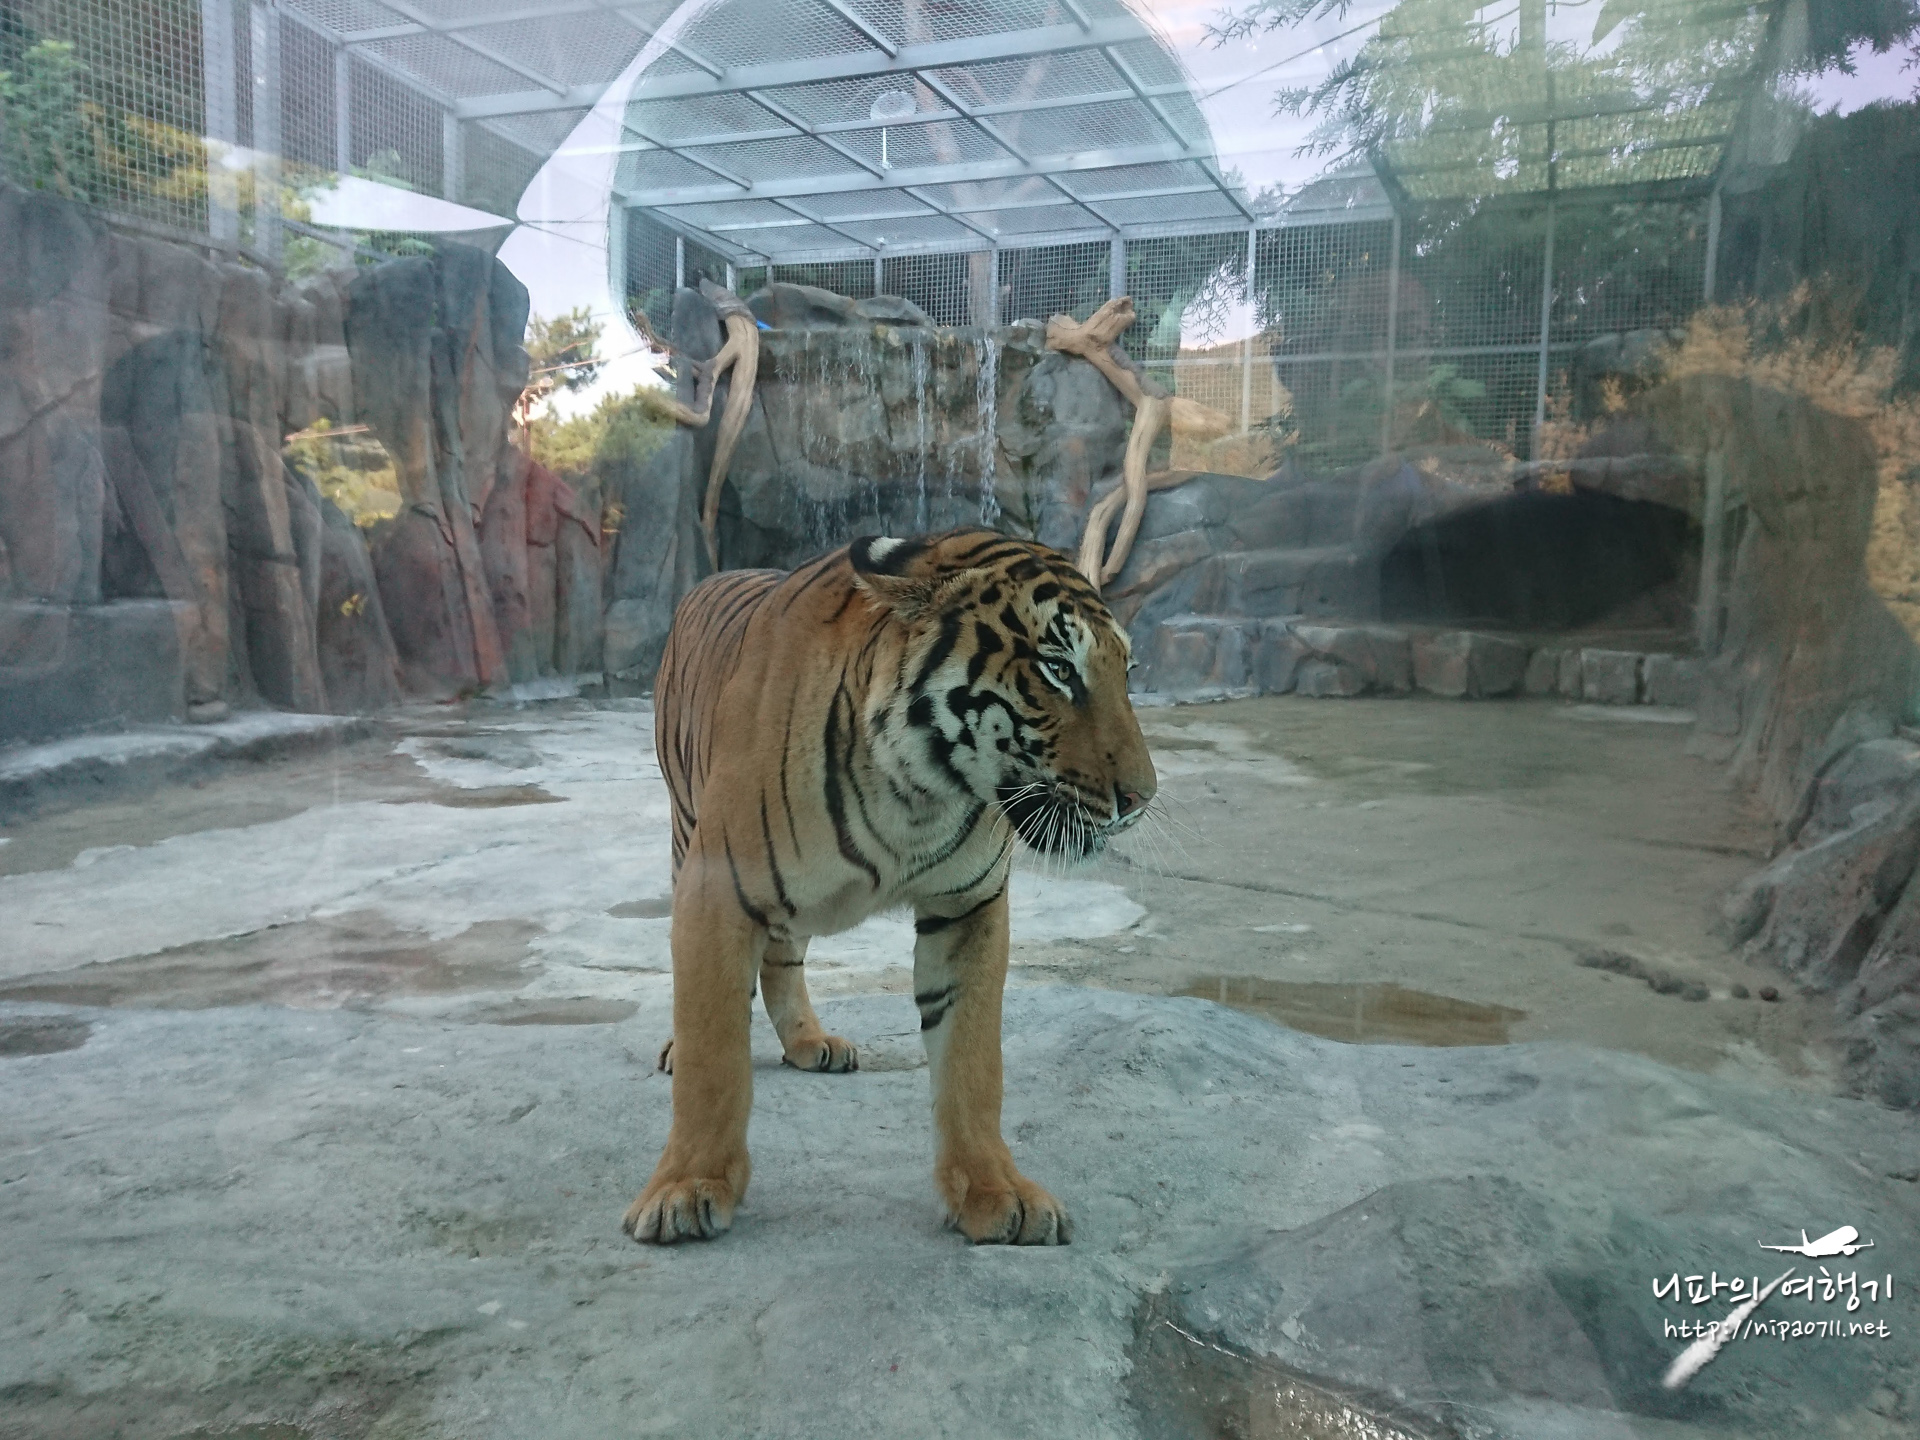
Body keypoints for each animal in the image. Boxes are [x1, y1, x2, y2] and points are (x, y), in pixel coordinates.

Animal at [623, 528, 1157, 1247]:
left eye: (1125, 674)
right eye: (1058, 670)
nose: (1142, 799)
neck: (917, 794)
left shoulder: (970, 906)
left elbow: (973, 1062)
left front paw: (995, 1192)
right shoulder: (718, 888)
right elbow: (714, 1056)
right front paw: (686, 1188)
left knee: (784, 957)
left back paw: (810, 1042)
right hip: (686, 830)